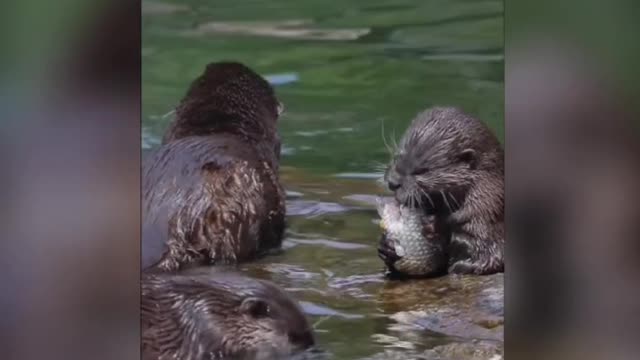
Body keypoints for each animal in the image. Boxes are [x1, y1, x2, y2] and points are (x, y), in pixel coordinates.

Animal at [384, 107, 504, 276]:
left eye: (422, 170)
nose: (393, 182)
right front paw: (387, 247)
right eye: (397, 157)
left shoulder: (485, 216)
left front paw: (435, 223)